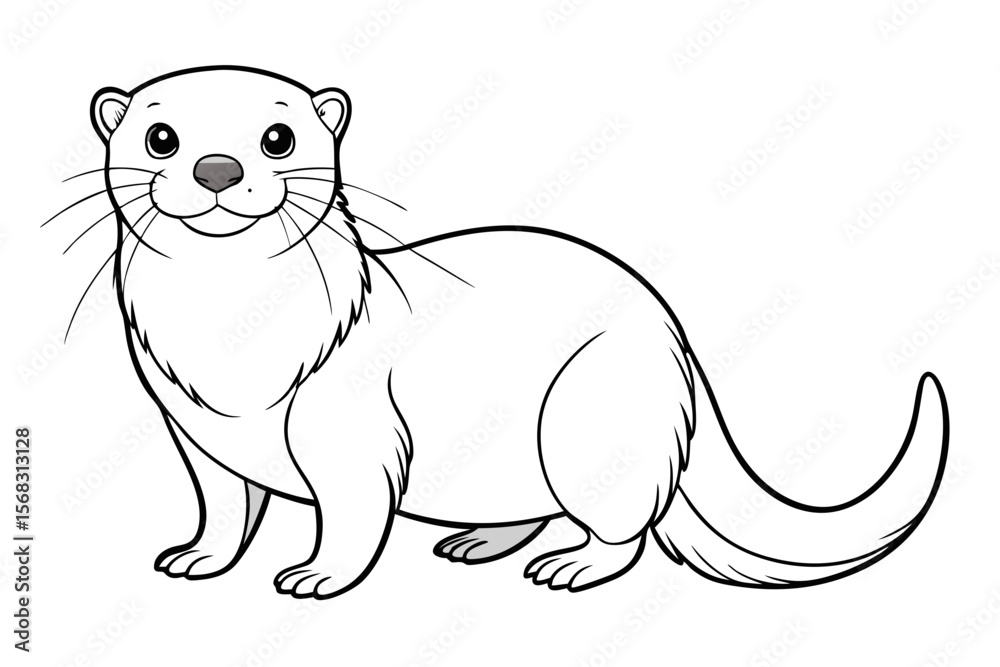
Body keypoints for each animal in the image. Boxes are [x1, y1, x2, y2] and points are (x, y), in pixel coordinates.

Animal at [85, 66, 948, 599]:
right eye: (160, 138)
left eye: (278, 138)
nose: (218, 168)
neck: (235, 359)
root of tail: (674, 336)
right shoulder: (193, 433)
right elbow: (224, 507)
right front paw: (199, 556)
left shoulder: (351, 434)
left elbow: (354, 516)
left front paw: (318, 575)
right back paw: (478, 541)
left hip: (593, 413)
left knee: (627, 525)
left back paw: (572, 565)